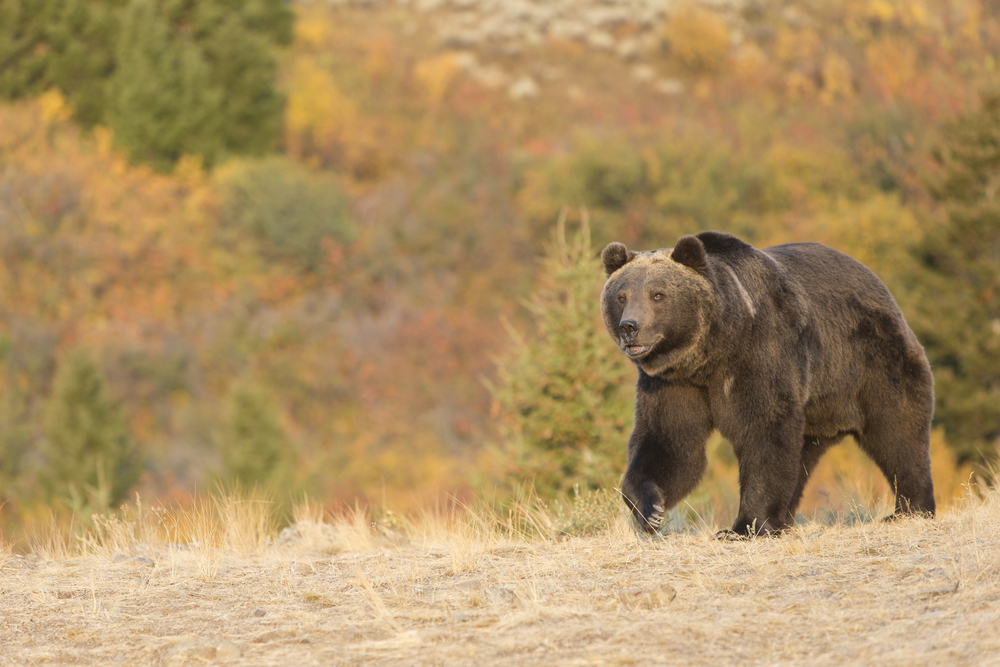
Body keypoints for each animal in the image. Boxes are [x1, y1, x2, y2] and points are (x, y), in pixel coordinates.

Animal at [600, 231, 935, 537]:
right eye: (621, 296)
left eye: (658, 295)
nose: (629, 327)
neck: (711, 353)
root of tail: (879, 285)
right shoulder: (672, 383)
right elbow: (670, 442)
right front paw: (651, 509)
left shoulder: (760, 354)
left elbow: (764, 431)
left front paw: (743, 526)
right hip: (816, 410)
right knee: (801, 457)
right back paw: (784, 520)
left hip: (870, 362)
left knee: (897, 430)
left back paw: (909, 509)